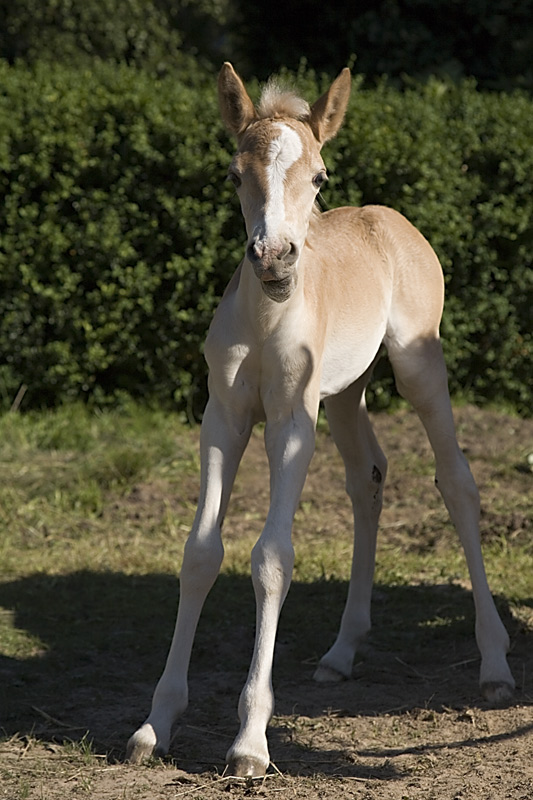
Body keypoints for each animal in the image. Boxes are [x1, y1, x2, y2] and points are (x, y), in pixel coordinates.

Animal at [127, 65, 512, 780]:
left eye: (319, 177)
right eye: (233, 173)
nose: (275, 257)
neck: (266, 317)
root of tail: (388, 218)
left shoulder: (291, 423)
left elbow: (272, 557)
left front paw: (250, 741)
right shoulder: (223, 419)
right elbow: (200, 553)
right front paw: (155, 723)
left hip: (419, 366)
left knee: (457, 482)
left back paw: (496, 663)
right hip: (347, 391)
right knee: (368, 478)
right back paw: (341, 651)